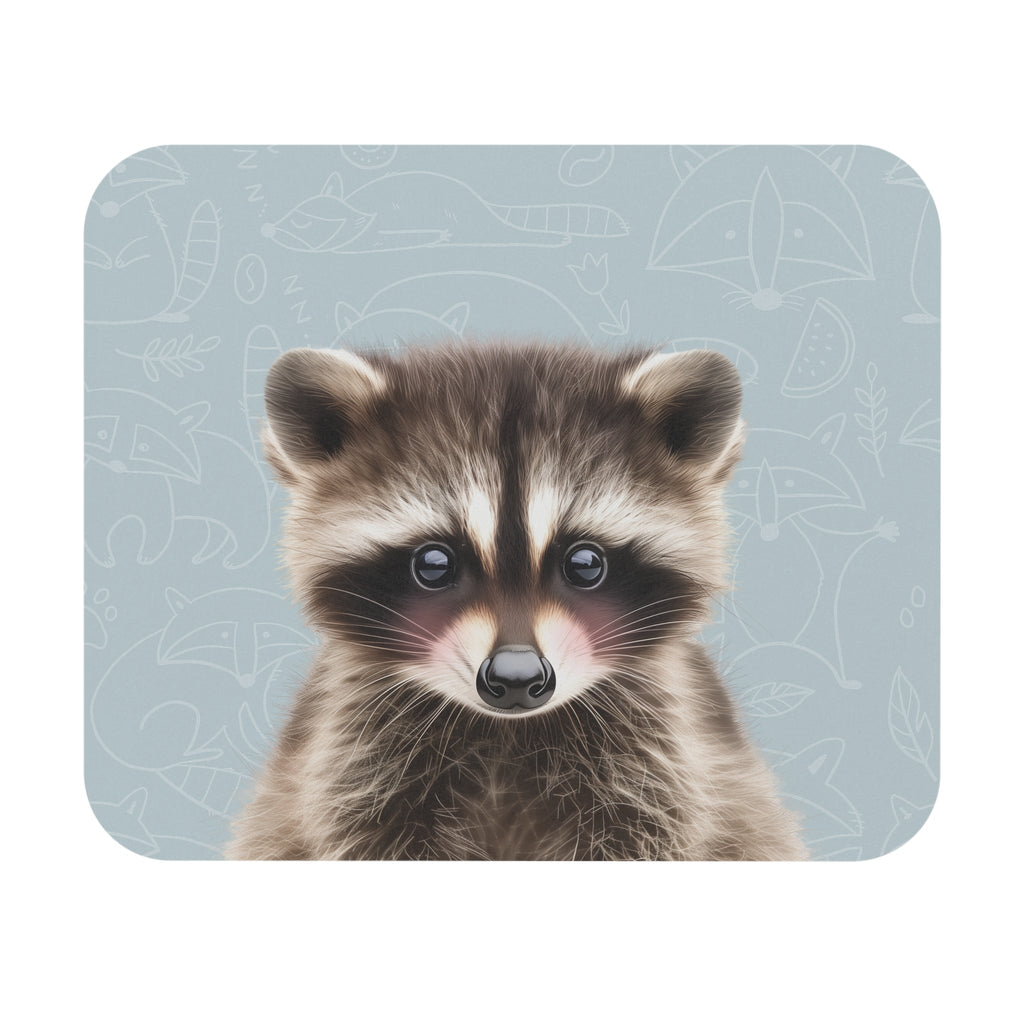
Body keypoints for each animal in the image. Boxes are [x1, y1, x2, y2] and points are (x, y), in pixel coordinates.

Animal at [226, 342, 807, 860]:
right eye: (434, 564)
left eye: (585, 563)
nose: (515, 679)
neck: (508, 733)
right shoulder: (353, 748)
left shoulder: (665, 753)